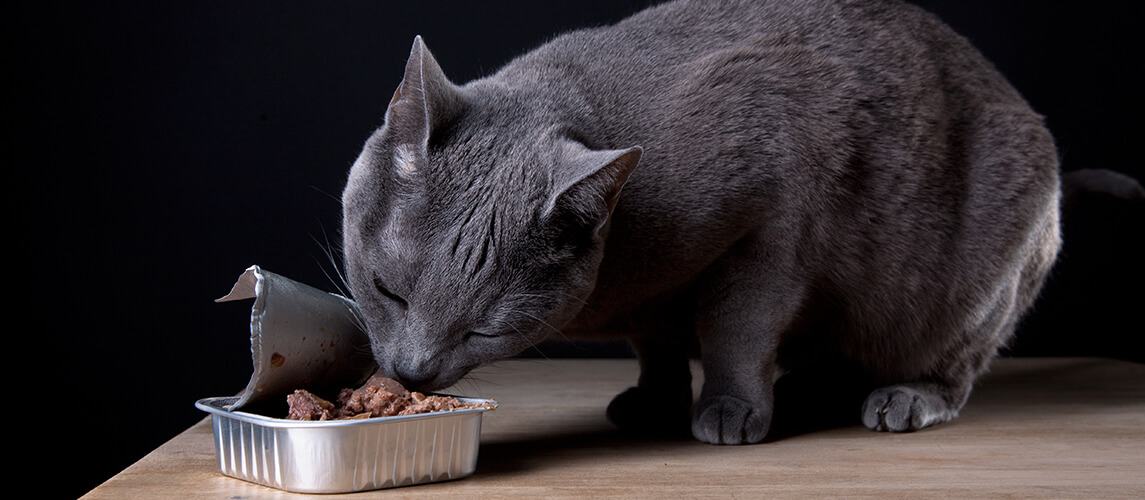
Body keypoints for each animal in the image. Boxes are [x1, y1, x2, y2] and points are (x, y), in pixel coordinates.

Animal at [338, 0, 1062, 443]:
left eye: (487, 329)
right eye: (387, 291)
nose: (410, 371)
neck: (626, 275)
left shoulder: (774, 226)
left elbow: (734, 331)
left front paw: (730, 410)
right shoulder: (650, 302)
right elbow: (655, 346)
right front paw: (652, 400)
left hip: (978, 284)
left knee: (954, 364)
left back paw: (902, 399)